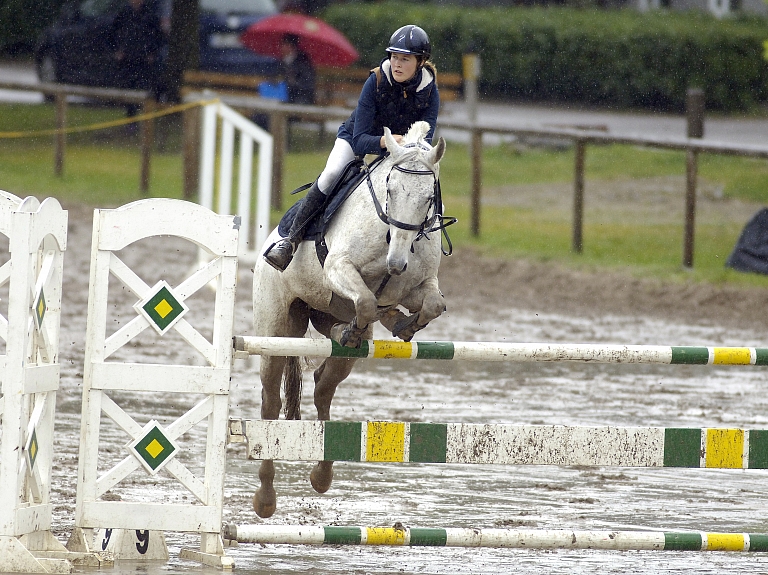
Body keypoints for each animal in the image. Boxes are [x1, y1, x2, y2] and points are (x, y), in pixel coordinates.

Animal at [249, 121, 450, 516]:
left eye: (428, 198)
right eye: (390, 189)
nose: (396, 262)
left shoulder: (417, 285)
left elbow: (430, 304)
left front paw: (402, 323)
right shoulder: (339, 267)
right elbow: (368, 300)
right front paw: (365, 325)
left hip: (332, 337)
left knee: (323, 387)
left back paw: (321, 476)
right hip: (275, 330)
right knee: (271, 401)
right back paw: (265, 498)